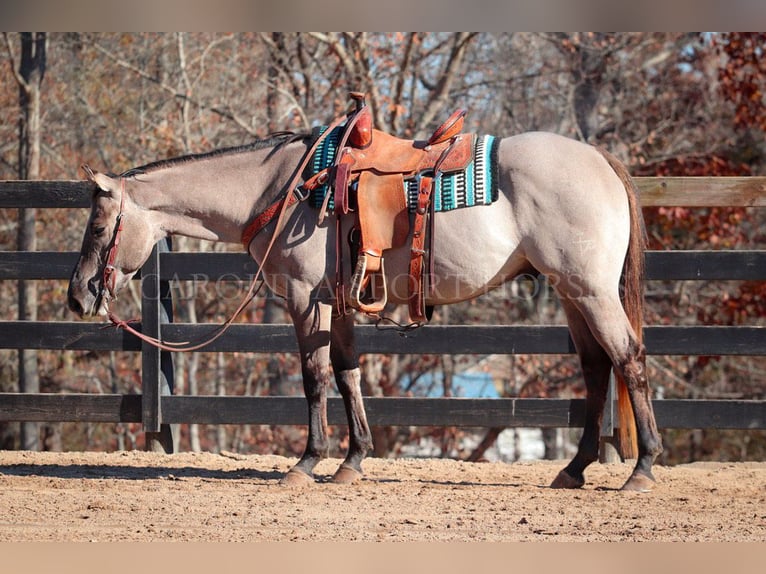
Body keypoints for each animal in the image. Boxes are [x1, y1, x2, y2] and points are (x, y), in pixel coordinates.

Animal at [67, 118, 664, 496]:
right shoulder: (339, 305)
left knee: (628, 359)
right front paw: (353, 461)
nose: (77, 295)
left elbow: (314, 377)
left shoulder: (305, 300)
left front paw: (307, 462)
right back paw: (575, 469)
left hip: (590, 291)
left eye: (97, 226)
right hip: (571, 294)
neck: (282, 189)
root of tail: (599, 158)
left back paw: (642, 469)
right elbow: (347, 372)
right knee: (597, 369)